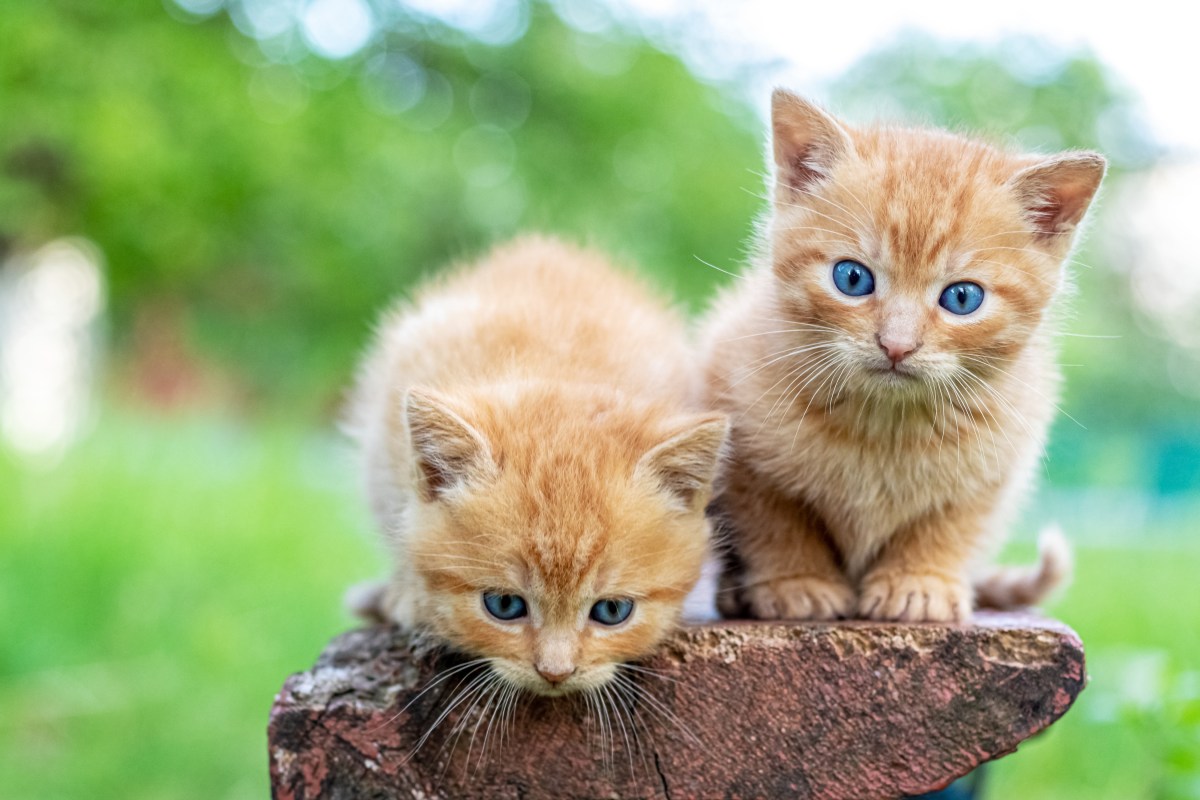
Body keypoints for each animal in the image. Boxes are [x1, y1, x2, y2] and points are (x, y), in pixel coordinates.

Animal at [700, 90, 1104, 623]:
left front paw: (919, 583)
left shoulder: (994, 466)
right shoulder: (742, 447)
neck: (884, 426)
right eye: (852, 278)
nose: (896, 344)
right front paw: (798, 582)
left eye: (962, 298)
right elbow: (775, 521)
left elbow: (947, 526)